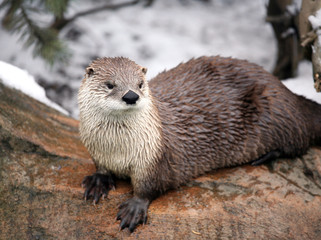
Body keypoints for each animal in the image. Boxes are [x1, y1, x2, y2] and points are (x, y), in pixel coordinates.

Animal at [77, 55, 320, 232]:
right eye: (110, 85)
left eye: (140, 84)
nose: (131, 96)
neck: (117, 149)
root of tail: (288, 92)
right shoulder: (97, 151)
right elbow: (100, 168)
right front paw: (98, 181)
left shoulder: (155, 158)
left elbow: (150, 186)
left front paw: (135, 208)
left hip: (277, 111)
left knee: (299, 139)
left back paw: (266, 156)